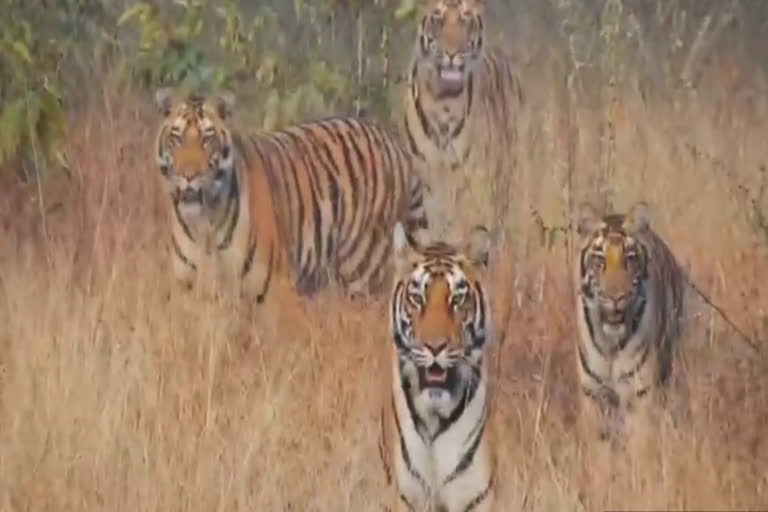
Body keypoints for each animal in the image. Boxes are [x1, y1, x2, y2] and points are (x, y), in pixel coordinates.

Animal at [154, 90, 432, 302]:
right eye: (176, 138)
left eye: (207, 139)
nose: (188, 175)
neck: (204, 223)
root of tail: (394, 145)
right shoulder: (186, 287)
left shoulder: (275, 288)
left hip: (362, 270)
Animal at [572, 201, 688, 440]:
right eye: (599, 259)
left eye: (630, 258)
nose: (616, 296)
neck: (610, 343)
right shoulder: (593, 394)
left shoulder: (639, 395)